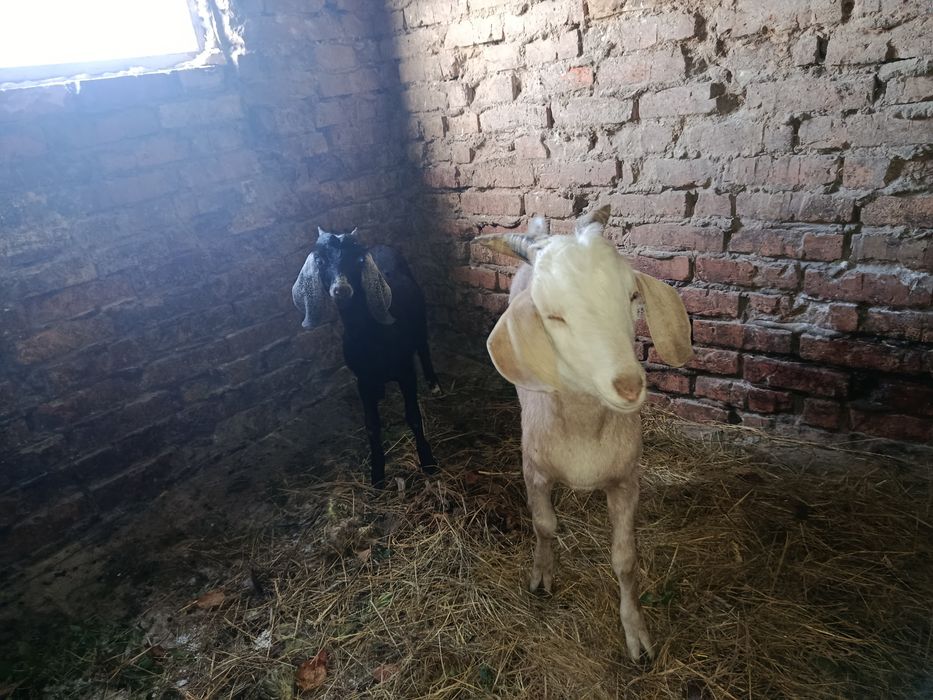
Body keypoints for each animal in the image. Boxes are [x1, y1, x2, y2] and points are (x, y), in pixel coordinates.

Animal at [292, 228, 440, 488]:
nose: (341, 289)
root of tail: (381, 246)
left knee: (423, 346)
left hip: (420, 322)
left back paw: (433, 384)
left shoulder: (406, 372)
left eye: (359, 260)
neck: (371, 337)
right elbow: (371, 426)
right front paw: (377, 475)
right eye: (320, 261)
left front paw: (427, 461)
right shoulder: (362, 379)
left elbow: (413, 416)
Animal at [478, 205, 693, 662]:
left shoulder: (626, 480)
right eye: (553, 316)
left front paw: (636, 633)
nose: (628, 386)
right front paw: (543, 573)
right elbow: (544, 525)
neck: (581, 425)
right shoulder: (534, 471)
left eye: (632, 297)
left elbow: (625, 560)